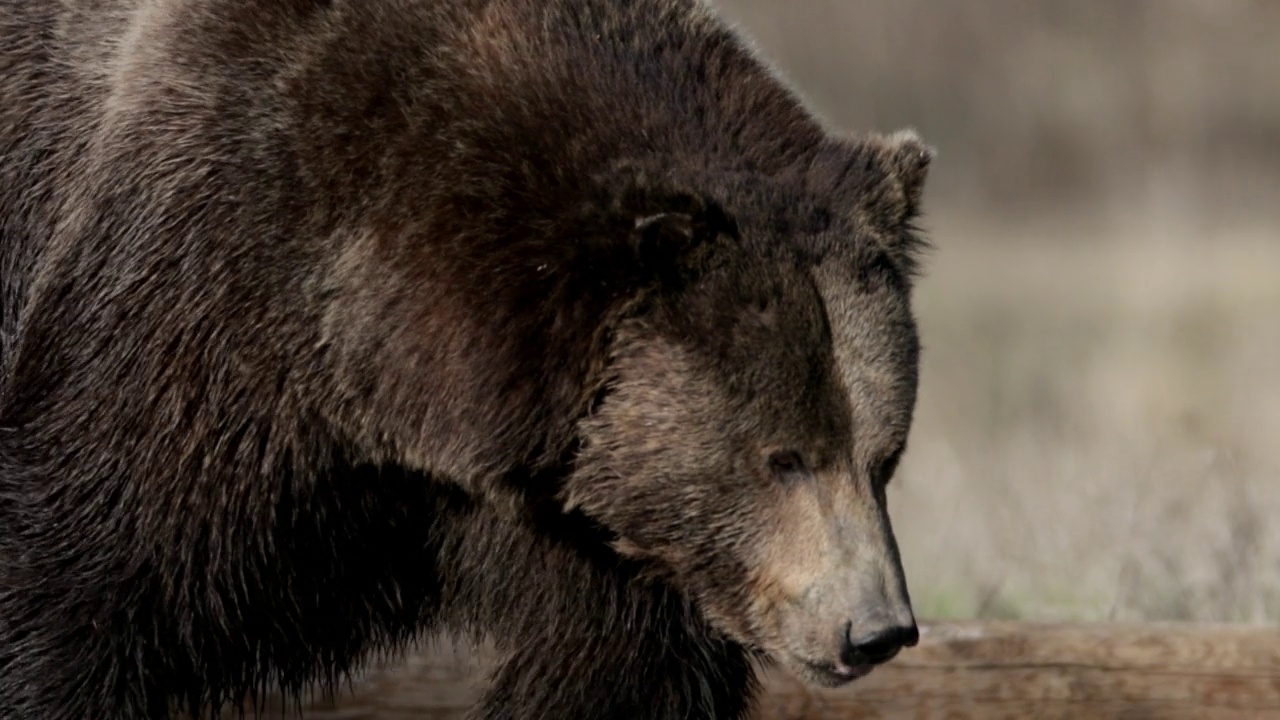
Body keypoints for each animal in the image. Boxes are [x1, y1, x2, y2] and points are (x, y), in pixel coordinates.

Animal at [2, 1, 942, 717]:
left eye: (884, 456)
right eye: (782, 457)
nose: (875, 629)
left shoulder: (575, 519)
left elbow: (614, 673)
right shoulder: (200, 298)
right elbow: (78, 589)